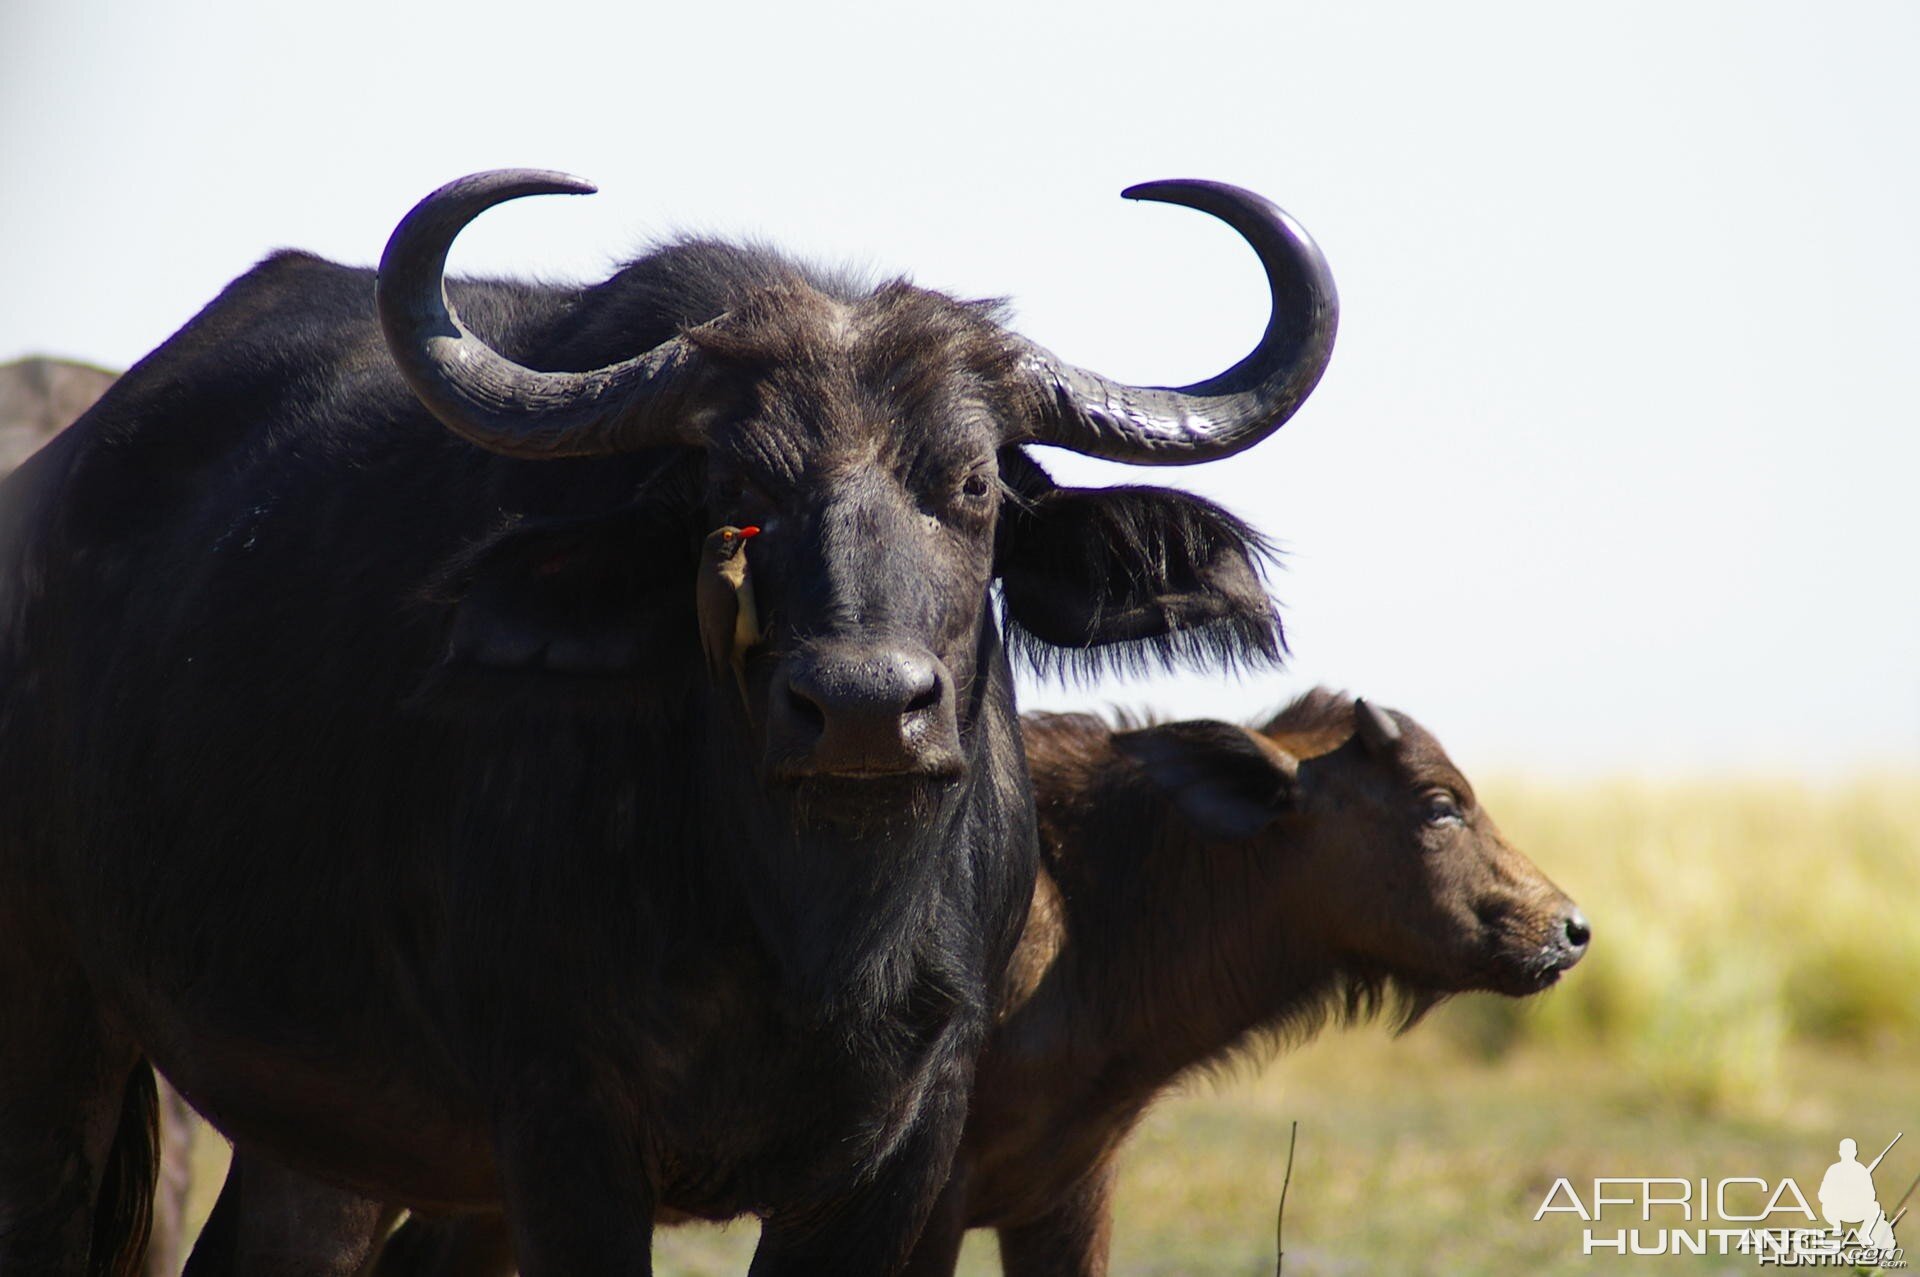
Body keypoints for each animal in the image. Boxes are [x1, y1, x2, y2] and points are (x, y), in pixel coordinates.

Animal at [0, 171, 1336, 1275]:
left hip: (332, 1124)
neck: (804, 930)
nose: (864, 707)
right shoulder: (563, 1127)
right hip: (64, 1029)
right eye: (736, 487)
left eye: (971, 485)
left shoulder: (908, 1150)